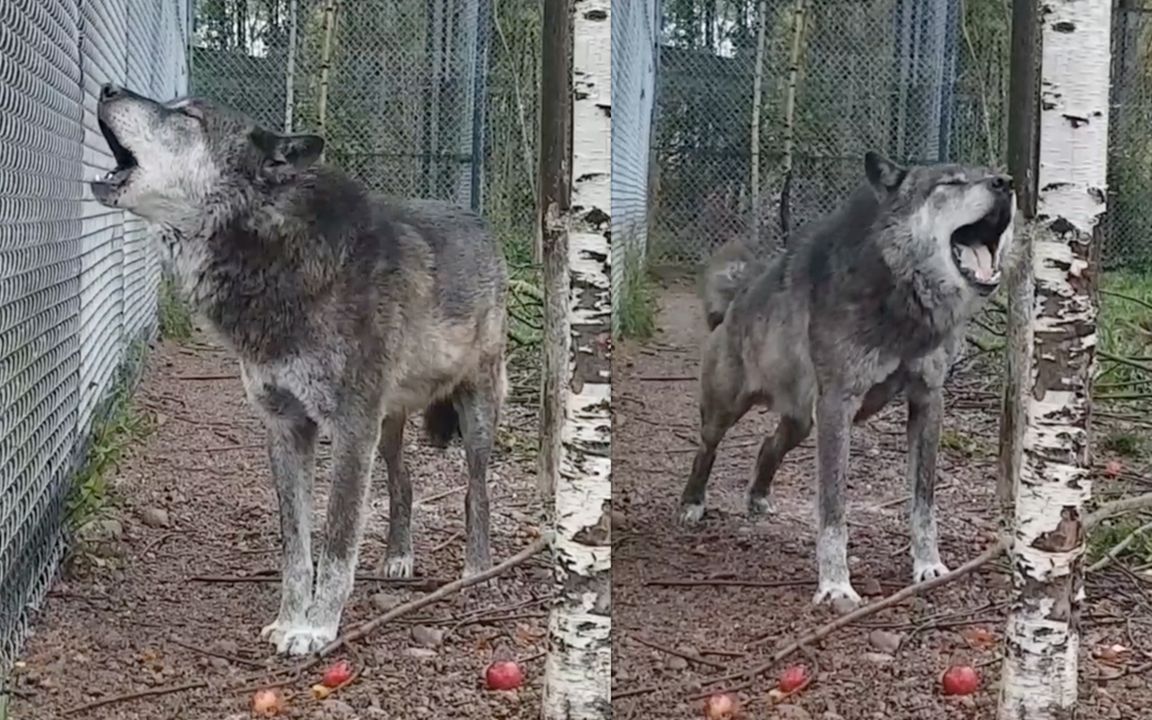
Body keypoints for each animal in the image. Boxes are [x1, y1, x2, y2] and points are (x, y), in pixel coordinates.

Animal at [96, 82, 511, 649]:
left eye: (189, 117)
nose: (107, 88)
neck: (277, 255)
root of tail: (482, 222)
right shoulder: (287, 427)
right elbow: (296, 548)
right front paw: (291, 620)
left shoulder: (352, 429)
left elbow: (336, 543)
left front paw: (318, 629)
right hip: (388, 426)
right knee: (403, 481)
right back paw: (399, 557)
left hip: (474, 414)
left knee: (477, 490)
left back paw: (476, 572)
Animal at [677, 152, 1013, 608]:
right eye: (952, 182)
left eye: (992, 173)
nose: (1006, 183)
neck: (901, 297)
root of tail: (735, 301)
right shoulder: (838, 405)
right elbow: (833, 510)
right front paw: (835, 586)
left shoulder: (928, 399)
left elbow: (924, 502)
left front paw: (929, 566)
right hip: (728, 412)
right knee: (705, 450)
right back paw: (691, 503)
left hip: (801, 423)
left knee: (767, 445)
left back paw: (759, 497)